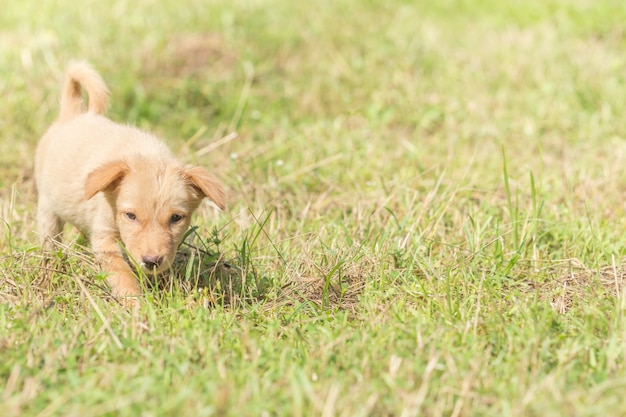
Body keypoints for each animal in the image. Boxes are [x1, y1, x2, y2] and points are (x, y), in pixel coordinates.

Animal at [34, 61, 224, 302]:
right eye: (130, 216)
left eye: (176, 218)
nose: (152, 261)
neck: (145, 154)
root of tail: (73, 114)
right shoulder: (105, 238)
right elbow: (122, 273)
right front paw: (136, 304)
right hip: (47, 210)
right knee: (49, 240)